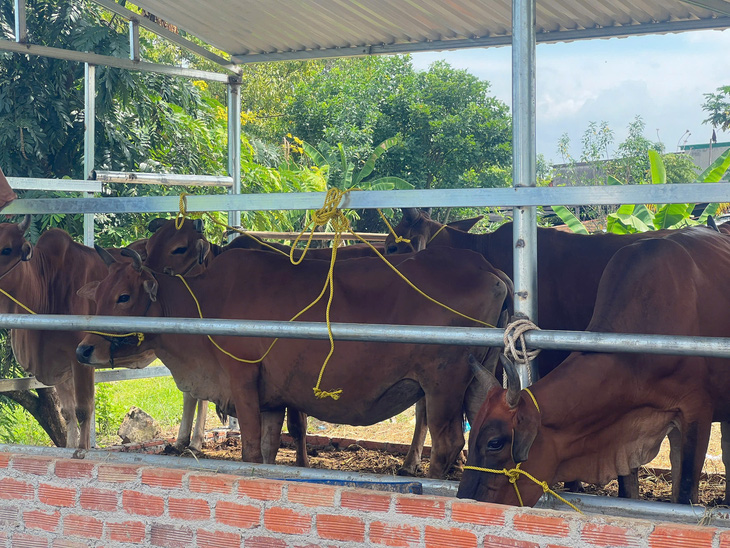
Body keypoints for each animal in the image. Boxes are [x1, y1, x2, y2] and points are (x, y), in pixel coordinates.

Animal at [0, 216, 155, 448]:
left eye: (6, 249)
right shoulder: (59, 364)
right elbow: (67, 413)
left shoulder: (81, 358)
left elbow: (83, 410)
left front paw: (82, 450)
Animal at [72, 246, 506, 478]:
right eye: (101, 291)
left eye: (125, 296)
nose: (84, 350)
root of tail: (487, 267)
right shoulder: (270, 399)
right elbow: (267, 450)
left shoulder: (244, 382)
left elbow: (250, 450)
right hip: (474, 381)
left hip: (443, 384)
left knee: (448, 442)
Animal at [458, 227, 730, 506]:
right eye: (472, 432)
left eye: (494, 443)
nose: (465, 501)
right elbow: (628, 491)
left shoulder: (697, 412)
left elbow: (684, 492)